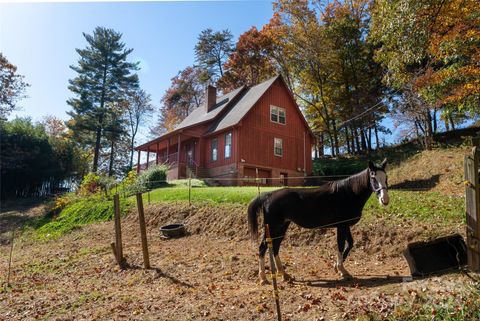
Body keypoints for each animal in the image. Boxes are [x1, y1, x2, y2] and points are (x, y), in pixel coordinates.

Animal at [249, 158, 388, 282]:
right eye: (373, 177)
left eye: (385, 177)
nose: (384, 200)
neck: (349, 193)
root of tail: (269, 195)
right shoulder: (341, 226)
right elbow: (341, 245)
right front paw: (342, 271)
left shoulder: (345, 226)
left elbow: (350, 244)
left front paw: (336, 267)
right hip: (273, 226)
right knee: (262, 247)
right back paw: (263, 278)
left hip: (282, 226)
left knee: (275, 246)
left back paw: (284, 274)